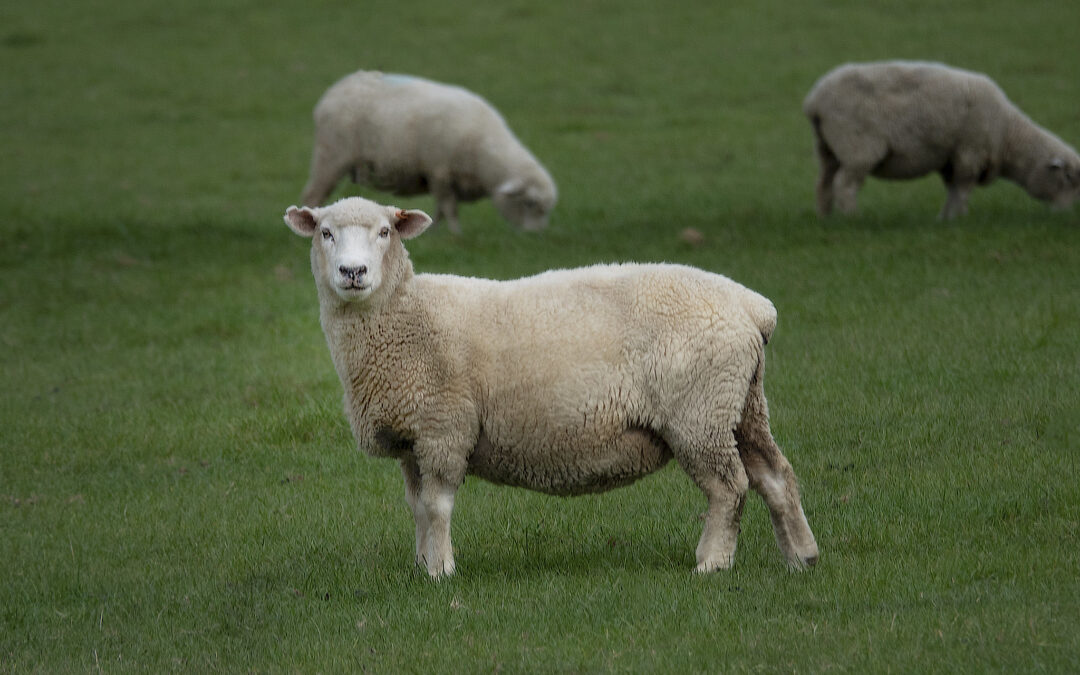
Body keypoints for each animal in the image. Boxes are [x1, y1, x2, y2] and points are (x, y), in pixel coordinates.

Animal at [282, 193, 812, 574]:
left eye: (385, 231)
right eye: (325, 232)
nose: (353, 272)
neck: (404, 317)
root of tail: (752, 307)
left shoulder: (444, 428)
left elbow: (436, 506)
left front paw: (441, 571)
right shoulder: (414, 439)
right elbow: (416, 508)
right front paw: (421, 564)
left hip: (699, 411)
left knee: (729, 487)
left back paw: (712, 562)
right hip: (741, 404)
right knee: (775, 475)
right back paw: (800, 557)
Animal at [302, 70, 561, 234]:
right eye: (530, 203)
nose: (535, 235)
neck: (485, 158)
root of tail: (333, 92)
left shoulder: (444, 178)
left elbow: (440, 210)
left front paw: (434, 232)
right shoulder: (440, 171)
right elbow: (449, 208)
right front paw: (457, 235)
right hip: (330, 156)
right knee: (312, 196)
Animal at [803, 60, 1080, 217]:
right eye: (1067, 178)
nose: (1066, 214)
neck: (1008, 136)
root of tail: (815, 101)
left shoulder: (951, 158)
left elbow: (952, 189)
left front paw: (946, 219)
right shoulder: (970, 153)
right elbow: (963, 190)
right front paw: (960, 217)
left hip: (827, 148)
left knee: (823, 183)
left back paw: (826, 218)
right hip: (857, 147)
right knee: (845, 185)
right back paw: (853, 217)